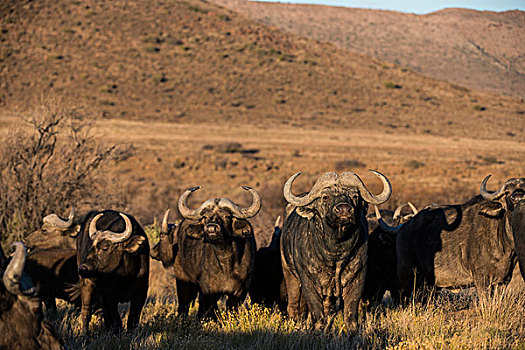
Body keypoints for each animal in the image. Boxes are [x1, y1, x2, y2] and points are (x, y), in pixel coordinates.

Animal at [150, 186, 258, 318]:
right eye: (205, 217)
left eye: (227, 216)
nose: (211, 228)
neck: (226, 263)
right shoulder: (209, 291)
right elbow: (210, 311)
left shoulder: (239, 292)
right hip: (183, 281)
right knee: (184, 304)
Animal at [280, 171, 390, 332]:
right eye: (325, 197)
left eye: (354, 196)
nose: (344, 210)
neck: (335, 253)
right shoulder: (309, 284)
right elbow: (317, 314)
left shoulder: (357, 280)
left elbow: (350, 315)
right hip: (289, 274)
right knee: (294, 306)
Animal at [378, 175, 524, 298]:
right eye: (507, 192)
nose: (517, 197)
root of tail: (403, 228)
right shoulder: (481, 279)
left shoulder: (503, 281)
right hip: (407, 277)